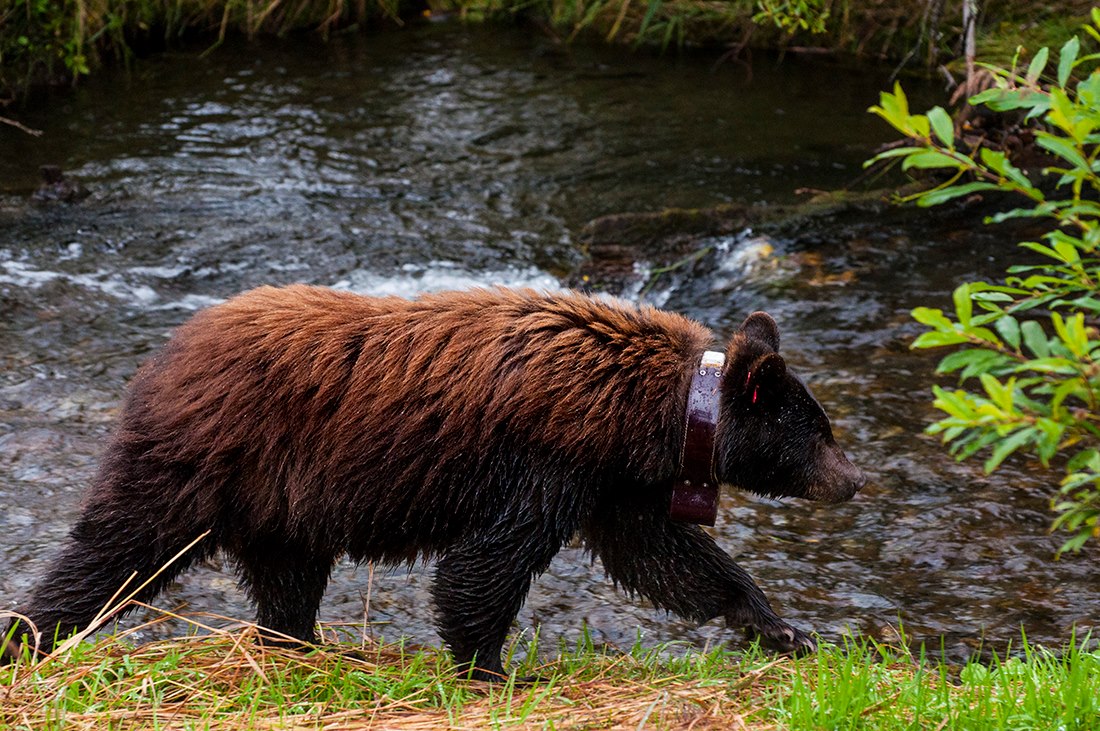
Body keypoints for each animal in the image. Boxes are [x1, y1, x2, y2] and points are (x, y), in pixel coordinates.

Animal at [2, 285, 864, 679]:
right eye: (818, 431)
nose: (854, 480)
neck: (649, 409)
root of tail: (162, 356)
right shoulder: (548, 461)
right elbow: (486, 566)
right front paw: (492, 667)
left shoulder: (611, 486)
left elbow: (664, 558)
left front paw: (781, 627)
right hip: (203, 462)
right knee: (112, 552)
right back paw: (28, 634)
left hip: (284, 506)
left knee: (287, 584)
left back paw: (297, 642)